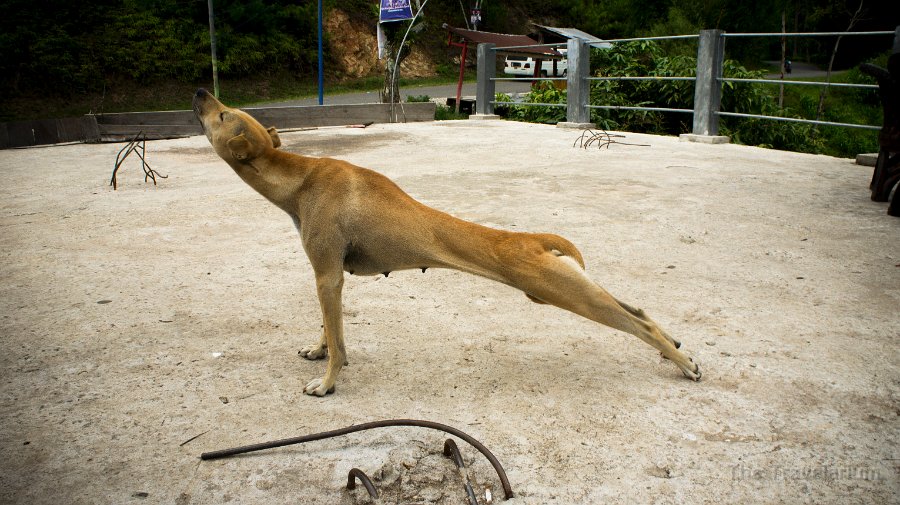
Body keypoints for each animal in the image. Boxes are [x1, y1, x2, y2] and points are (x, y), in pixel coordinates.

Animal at [192, 88, 704, 394]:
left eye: (222, 113)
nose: (199, 92)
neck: (299, 178)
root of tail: (535, 241)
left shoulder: (326, 274)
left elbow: (336, 338)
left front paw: (327, 382)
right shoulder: (330, 276)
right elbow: (329, 330)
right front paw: (319, 352)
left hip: (564, 292)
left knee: (636, 324)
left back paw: (684, 363)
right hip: (567, 285)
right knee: (638, 310)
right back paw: (676, 348)